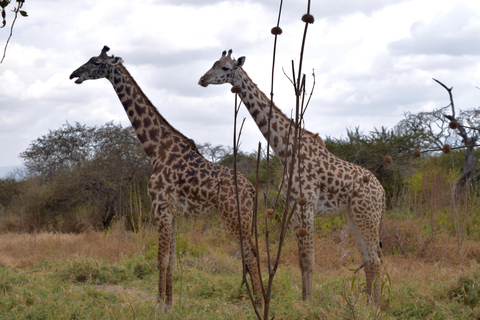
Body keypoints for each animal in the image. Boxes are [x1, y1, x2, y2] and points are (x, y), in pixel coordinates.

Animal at [69, 46, 262, 308]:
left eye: (97, 62)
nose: (74, 74)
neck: (156, 150)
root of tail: (252, 189)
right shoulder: (172, 212)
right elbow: (171, 257)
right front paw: (169, 303)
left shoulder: (160, 206)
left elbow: (161, 258)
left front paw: (158, 305)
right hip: (243, 217)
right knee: (253, 252)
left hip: (233, 215)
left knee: (249, 253)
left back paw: (260, 304)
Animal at [199, 50, 386, 308]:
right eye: (213, 64)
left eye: (226, 68)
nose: (202, 79)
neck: (285, 151)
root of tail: (383, 192)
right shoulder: (294, 207)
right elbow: (301, 260)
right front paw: (304, 299)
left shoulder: (307, 206)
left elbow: (309, 259)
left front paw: (309, 304)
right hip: (353, 215)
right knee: (370, 257)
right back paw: (370, 303)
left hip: (366, 214)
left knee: (374, 259)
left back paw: (374, 307)